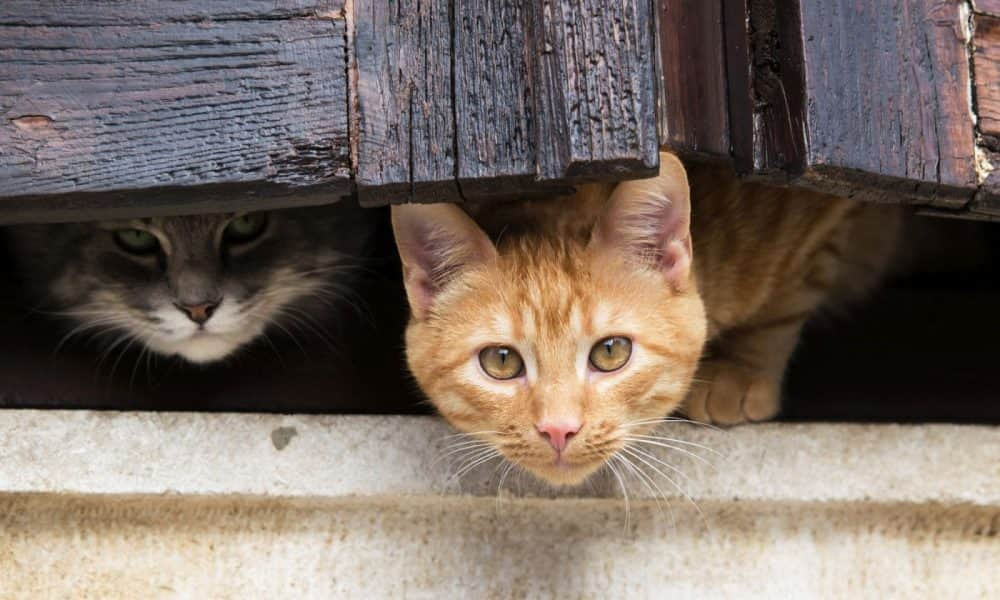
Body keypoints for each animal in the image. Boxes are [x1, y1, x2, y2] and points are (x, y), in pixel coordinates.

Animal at [390, 152, 900, 486]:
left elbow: (789, 297)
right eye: (501, 361)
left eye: (611, 352)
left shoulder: (825, 206)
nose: (558, 429)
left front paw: (741, 371)